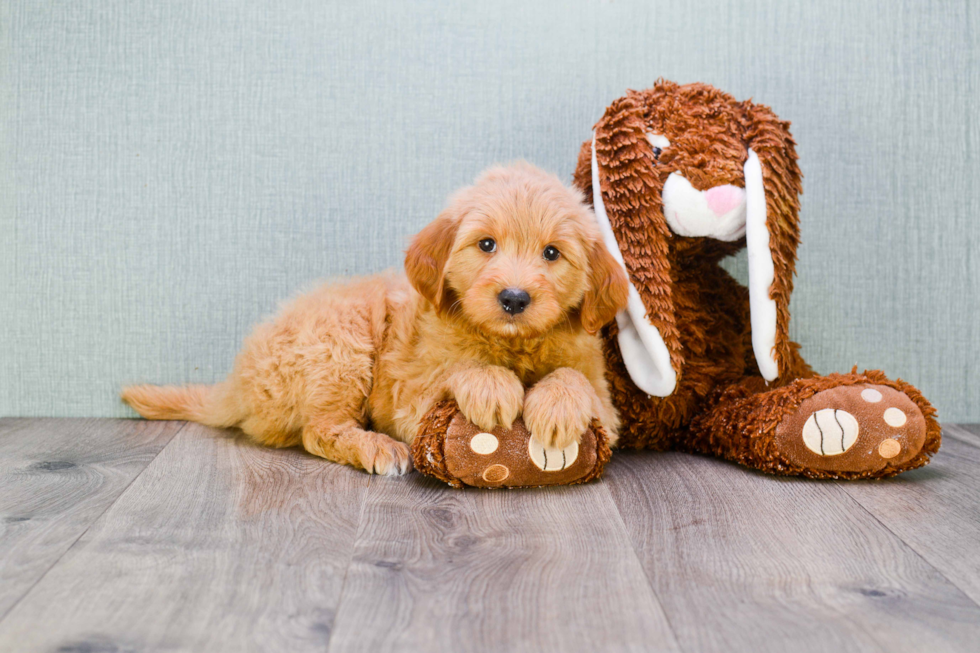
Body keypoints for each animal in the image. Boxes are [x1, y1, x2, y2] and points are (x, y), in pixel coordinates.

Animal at [122, 160, 628, 472]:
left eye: (552, 253)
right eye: (486, 244)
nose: (514, 298)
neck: (512, 343)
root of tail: (237, 381)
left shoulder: (605, 405)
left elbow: (574, 378)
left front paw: (557, 407)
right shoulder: (412, 395)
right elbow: (458, 368)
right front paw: (491, 385)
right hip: (340, 341)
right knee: (317, 431)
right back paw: (377, 447)